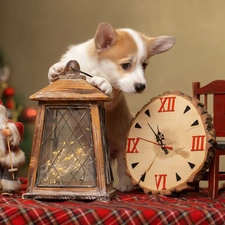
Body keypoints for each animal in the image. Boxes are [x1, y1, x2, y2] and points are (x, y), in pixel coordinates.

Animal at [48, 22, 176, 192]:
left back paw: (125, 185)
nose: (141, 86)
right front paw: (55, 69)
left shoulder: (111, 101)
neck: (96, 69)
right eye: (126, 65)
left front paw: (102, 82)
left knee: (123, 169)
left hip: (123, 149)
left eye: (144, 65)